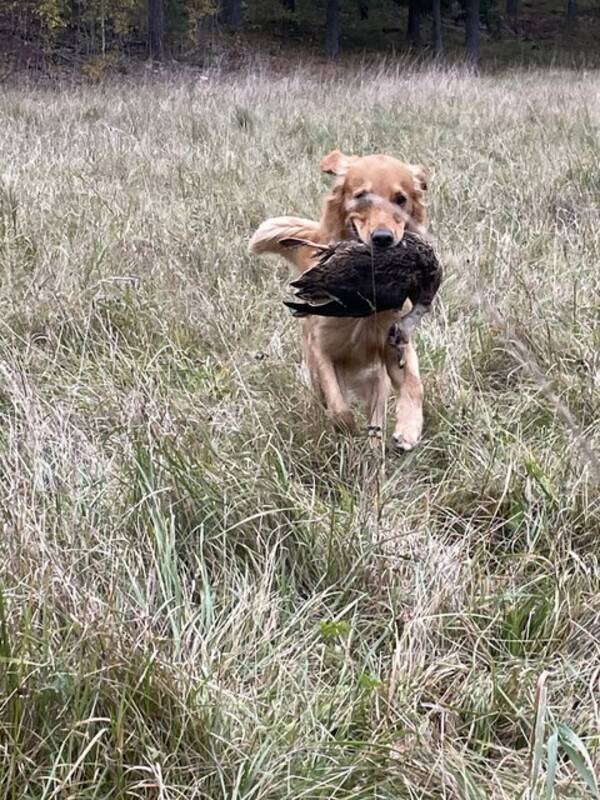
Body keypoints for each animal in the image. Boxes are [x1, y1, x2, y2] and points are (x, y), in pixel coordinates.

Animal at [251, 150, 428, 450]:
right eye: (361, 196)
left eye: (401, 199)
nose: (383, 238)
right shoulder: (321, 348)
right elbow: (338, 407)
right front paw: (347, 431)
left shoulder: (393, 343)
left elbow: (414, 385)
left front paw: (409, 427)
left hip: (377, 376)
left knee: (377, 407)